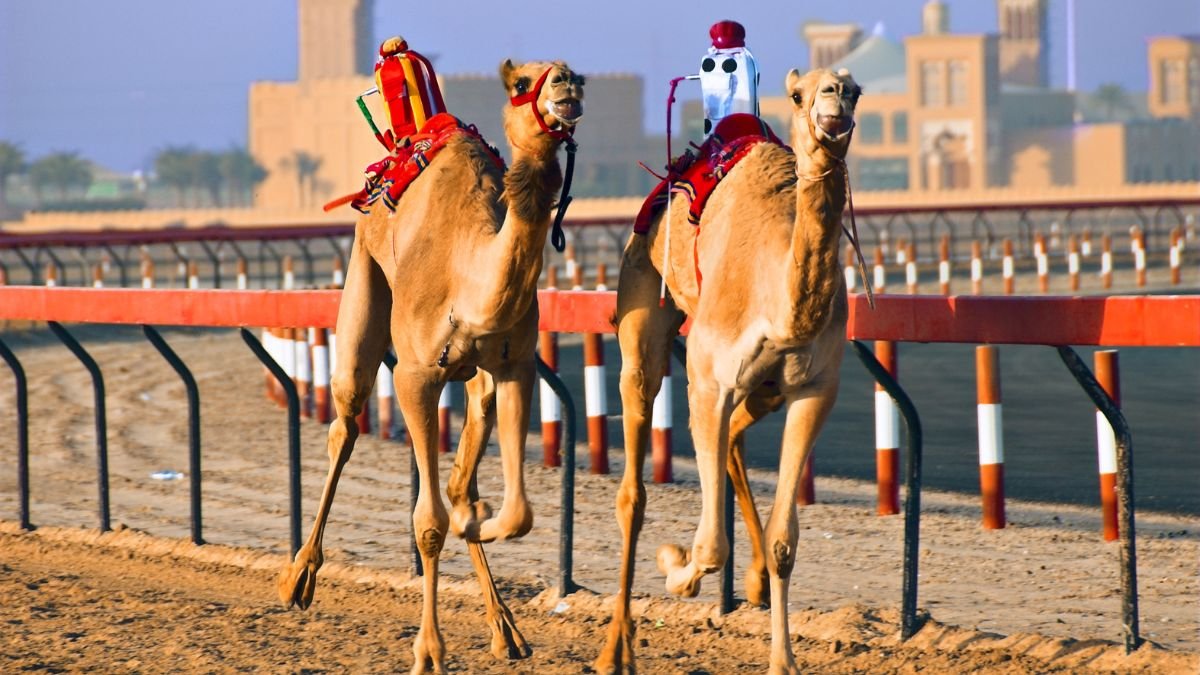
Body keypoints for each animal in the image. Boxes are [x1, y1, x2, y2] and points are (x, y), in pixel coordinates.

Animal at [275, 59, 585, 674]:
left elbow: (511, 511)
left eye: (576, 74)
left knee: (461, 475)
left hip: (478, 381)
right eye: (524, 83)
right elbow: (428, 523)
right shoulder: (415, 376)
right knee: (345, 421)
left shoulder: (515, 367)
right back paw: (299, 578)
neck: (470, 277)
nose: (567, 84)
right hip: (363, 280)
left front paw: (479, 521)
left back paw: (507, 630)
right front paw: (429, 652)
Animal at [596, 67, 861, 674]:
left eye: (855, 89)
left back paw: (756, 579)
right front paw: (677, 569)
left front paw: (784, 662)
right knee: (633, 488)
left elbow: (787, 542)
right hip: (642, 297)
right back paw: (615, 648)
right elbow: (711, 546)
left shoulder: (815, 390)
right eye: (798, 94)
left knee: (736, 438)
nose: (834, 97)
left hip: (766, 388)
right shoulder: (708, 380)